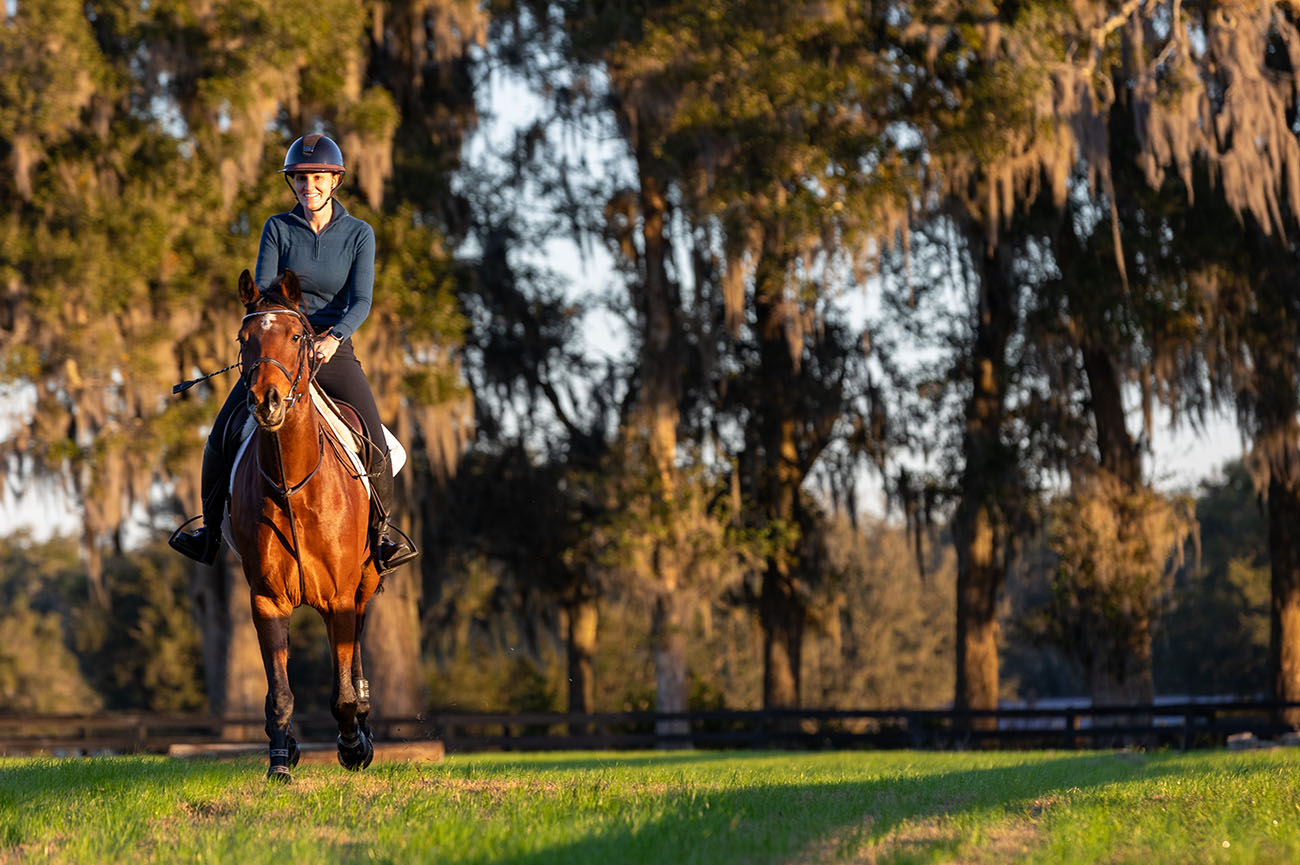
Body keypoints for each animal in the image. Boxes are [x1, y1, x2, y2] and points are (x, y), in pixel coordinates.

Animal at [230, 267, 381, 781]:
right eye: (244, 340)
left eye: (297, 337)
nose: (267, 403)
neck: (292, 483)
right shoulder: (267, 600)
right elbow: (279, 694)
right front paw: (280, 760)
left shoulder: (339, 598)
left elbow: (341, 694)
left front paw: (354, 747)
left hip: (365, 583)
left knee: (356, 653)